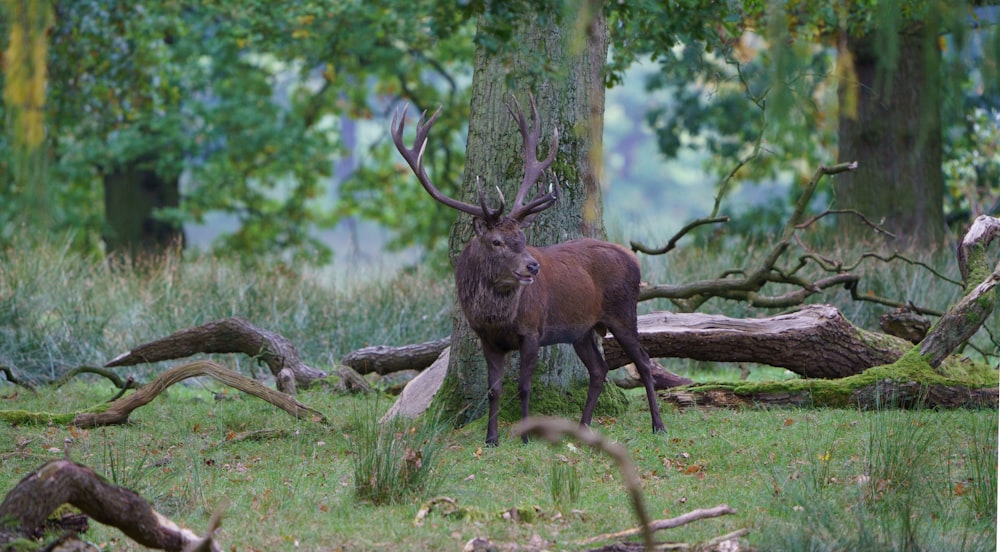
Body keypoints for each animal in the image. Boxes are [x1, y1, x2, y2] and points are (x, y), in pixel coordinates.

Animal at [392, 95, 672, 446]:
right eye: (496, 241)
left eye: (523, 238)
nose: (533, 265)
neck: (498, 317)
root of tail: (634, 259)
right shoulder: (486, 338)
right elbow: (494, 390)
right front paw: (491, 439)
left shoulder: (532, 331)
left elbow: (524, 387)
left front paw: (525, 436)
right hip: (581, 329)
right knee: (599, 370)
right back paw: (583, 427)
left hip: (623, 311)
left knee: (644, 362)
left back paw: (658, 425)